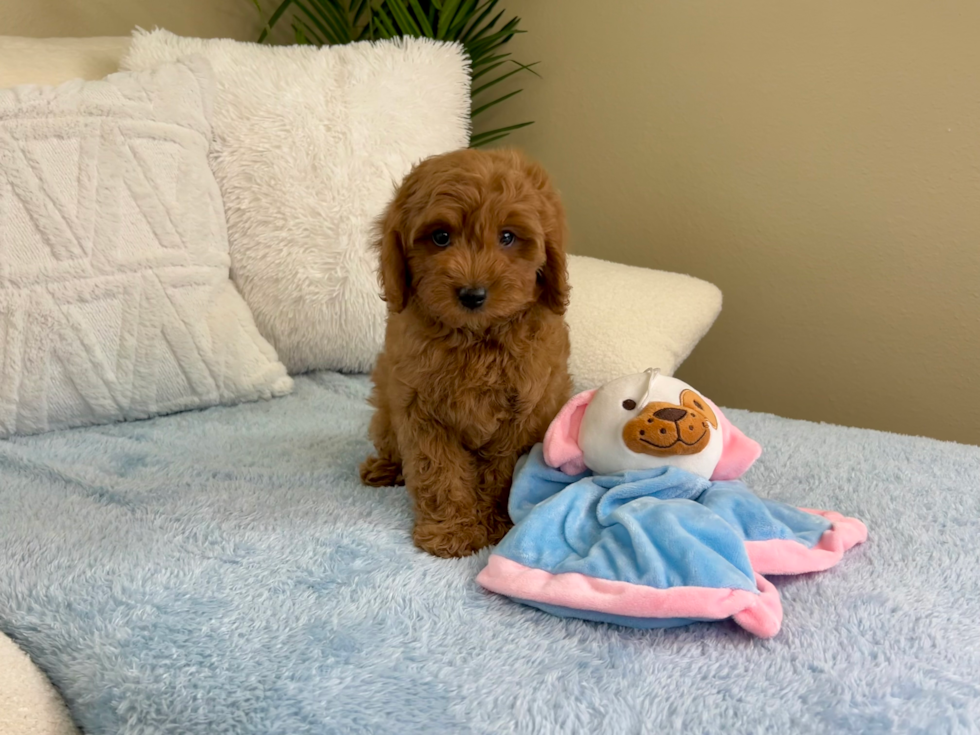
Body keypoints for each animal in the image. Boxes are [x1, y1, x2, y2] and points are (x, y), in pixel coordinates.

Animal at [360, 148, 576, 556]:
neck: (475, 340)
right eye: (441, 237)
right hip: (384, 414)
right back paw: (385, 468)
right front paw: (452, 531)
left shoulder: (524, 412)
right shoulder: (419, 409)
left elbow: (503, 473)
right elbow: (439, 470)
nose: (472, 294)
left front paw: (496, 524)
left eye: (507, 237)